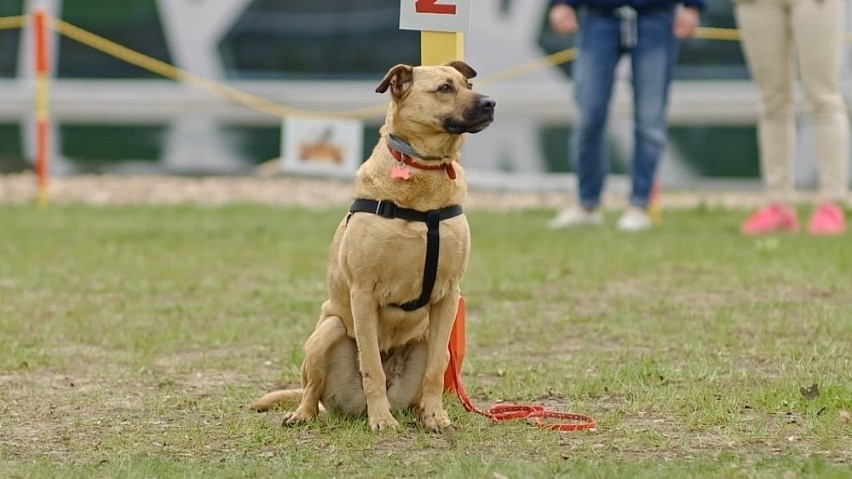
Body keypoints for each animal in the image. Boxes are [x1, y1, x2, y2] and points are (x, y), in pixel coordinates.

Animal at [251, 62, 492, 434]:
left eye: (468, 84)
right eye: (444, 88)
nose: (490, 103)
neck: (423, 173)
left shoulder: (449, 295)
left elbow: (434, 372)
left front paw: (436, 417)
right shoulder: (363, 292)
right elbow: (371, 368)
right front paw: (381, 420)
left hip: (429, 342)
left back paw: (421, 411)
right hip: (327, 331)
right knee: (311, 389)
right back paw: (305, 414)